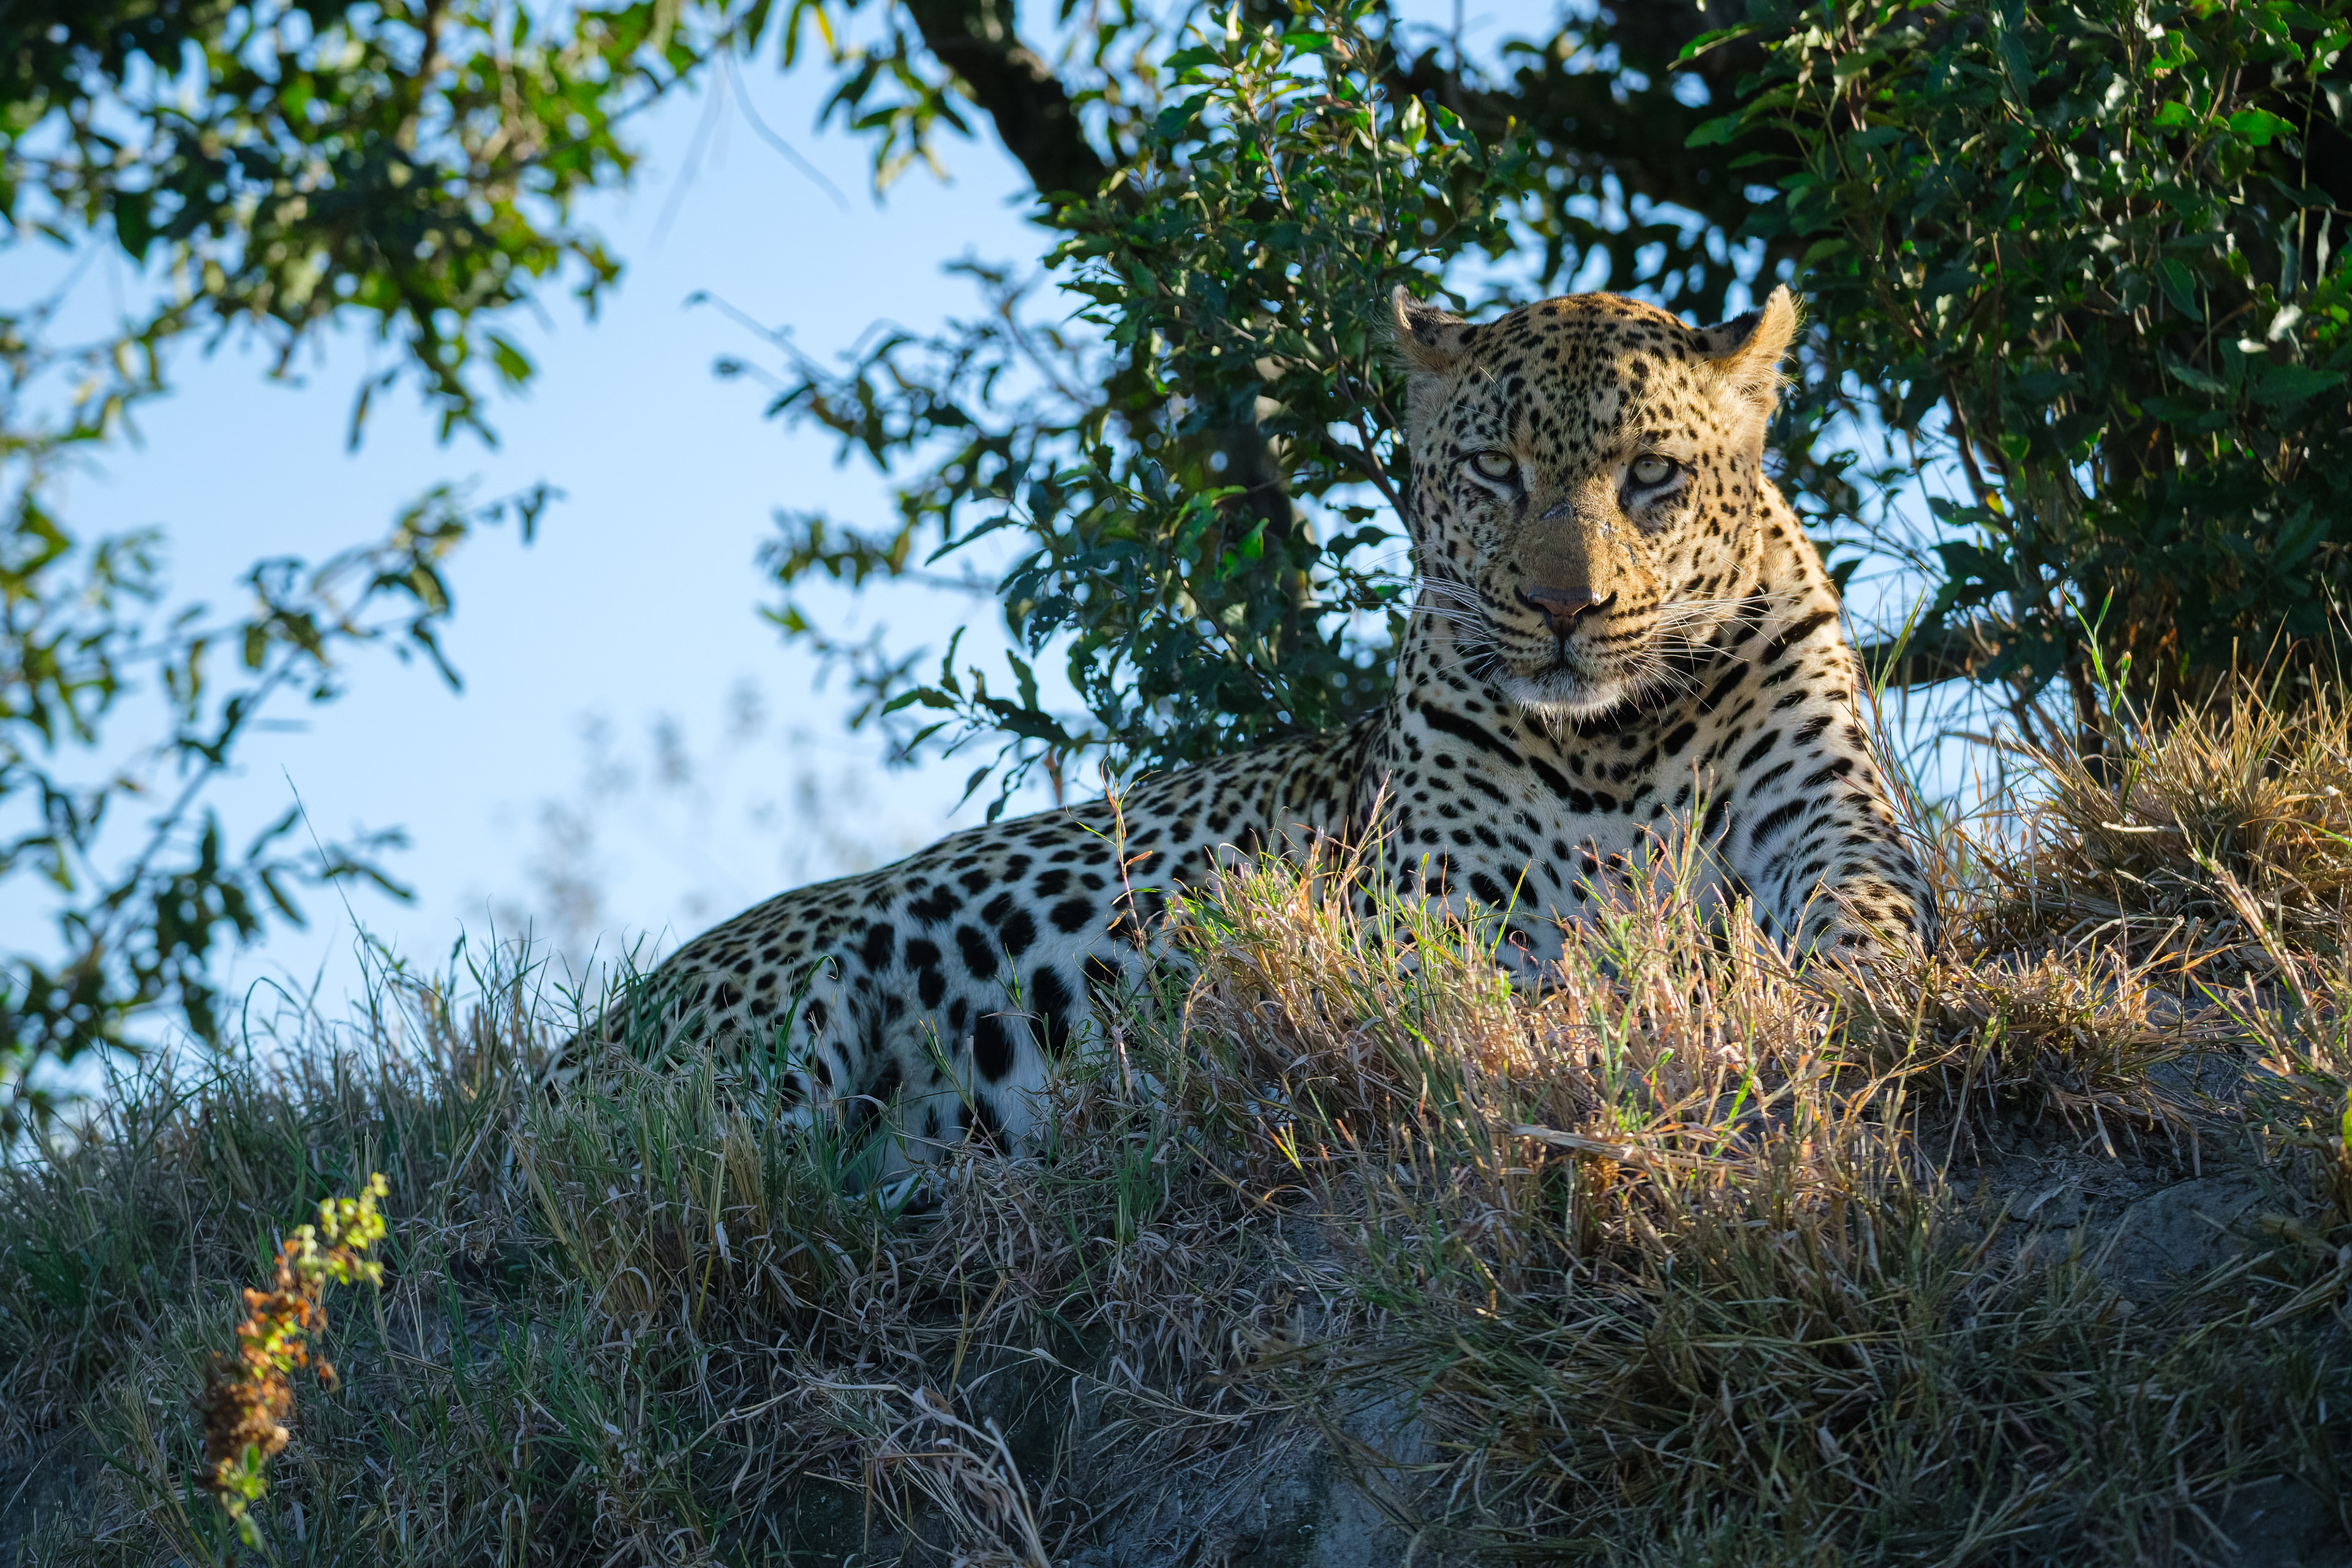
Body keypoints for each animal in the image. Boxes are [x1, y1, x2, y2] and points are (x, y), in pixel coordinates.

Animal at [567, 284, 1938, 1157]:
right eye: (1495, 471)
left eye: (1650, 474)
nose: (1564, 607)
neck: (1612, 739)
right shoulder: (1426, 900)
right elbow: (1495, 1002)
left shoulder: (1825, 816)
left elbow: (1866, 912)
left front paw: (1856, 996)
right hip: (787, 1036)